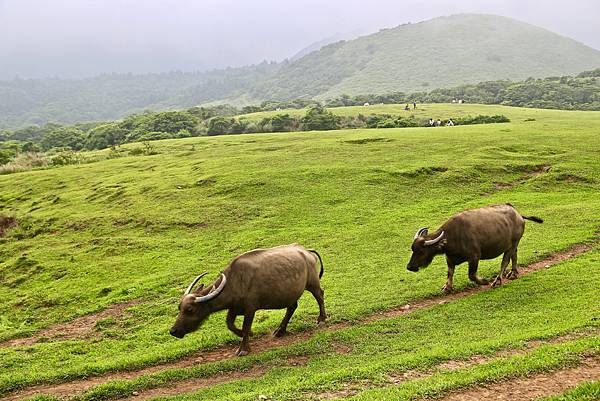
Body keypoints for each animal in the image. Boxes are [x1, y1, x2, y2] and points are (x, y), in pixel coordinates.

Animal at [169, 242, 328, 354]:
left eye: (190, 309)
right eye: (179, 308)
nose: (173, 331)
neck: (234, 281)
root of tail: (306, 251)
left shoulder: (250, 309)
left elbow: (246, 326)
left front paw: (243, 349)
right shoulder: (234, 308)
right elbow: (230, 324)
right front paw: (247, 334)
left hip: (313, 283)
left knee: (320, 295)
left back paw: (322, 319)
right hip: (291, 293)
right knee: (292, 307)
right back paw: (280, 331)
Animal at [408, 205, 544, 292]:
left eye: (421, 251)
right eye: (412, 249)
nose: (409, 267)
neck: (453, 236)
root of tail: (518, 215)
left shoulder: (474, 257)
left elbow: (472, 275)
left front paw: (484, 281)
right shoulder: (449, 258)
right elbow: (450, 272)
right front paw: (447, 287)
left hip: (513, 243)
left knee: (505, 261)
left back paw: (497, 280)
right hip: (512, 244)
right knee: (514, 255)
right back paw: (513, 273)